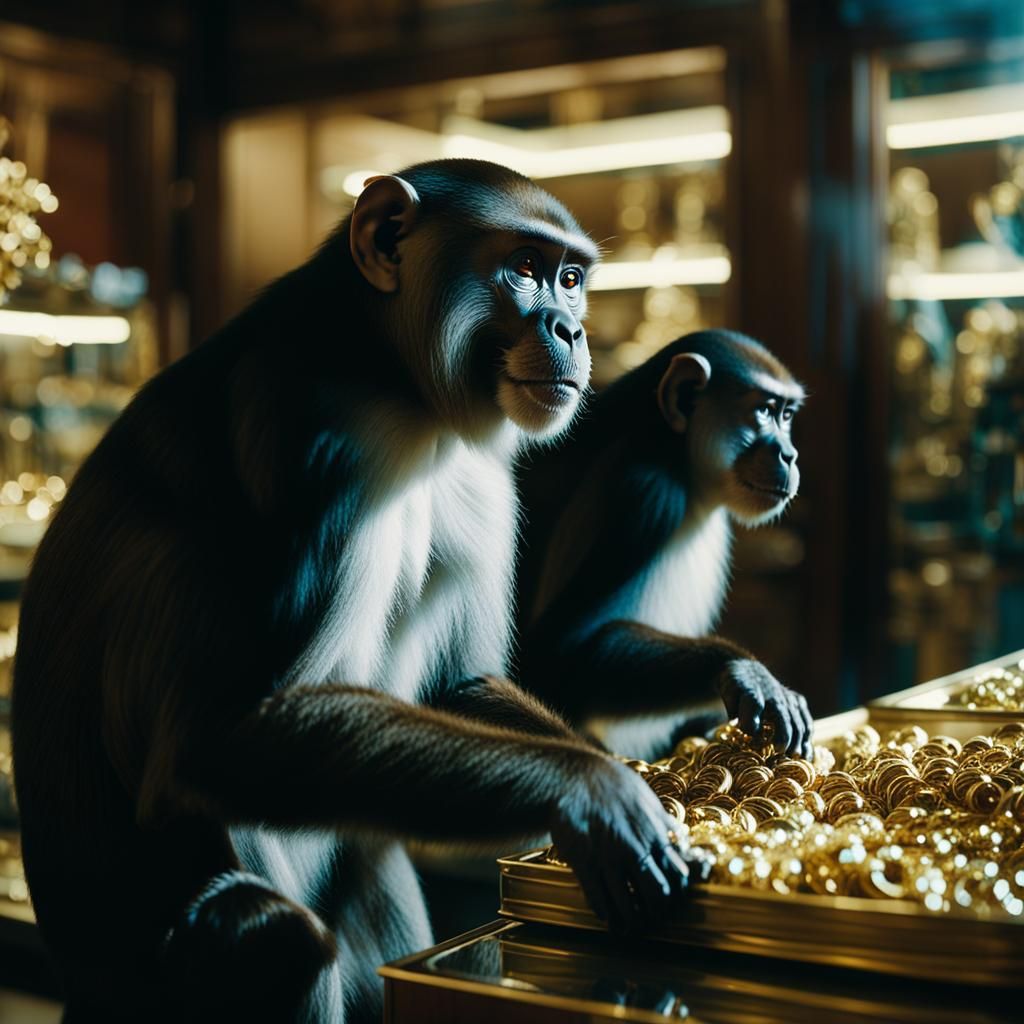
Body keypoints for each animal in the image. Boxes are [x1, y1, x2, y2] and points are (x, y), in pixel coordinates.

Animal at [11, 160, 700, 1024]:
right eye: (526, 268)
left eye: (571, 280)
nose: (571, 329)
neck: (394, 383)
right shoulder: (311, 439)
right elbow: (220, 734)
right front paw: (597, 793)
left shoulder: (480, 472)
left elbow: (457, 684)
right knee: (274, 936)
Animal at [515, 329, 813, 765]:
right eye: (764, 411)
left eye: (787, 416)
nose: (789, 455)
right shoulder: (647, 493)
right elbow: (555, 659)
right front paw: (739, 667)